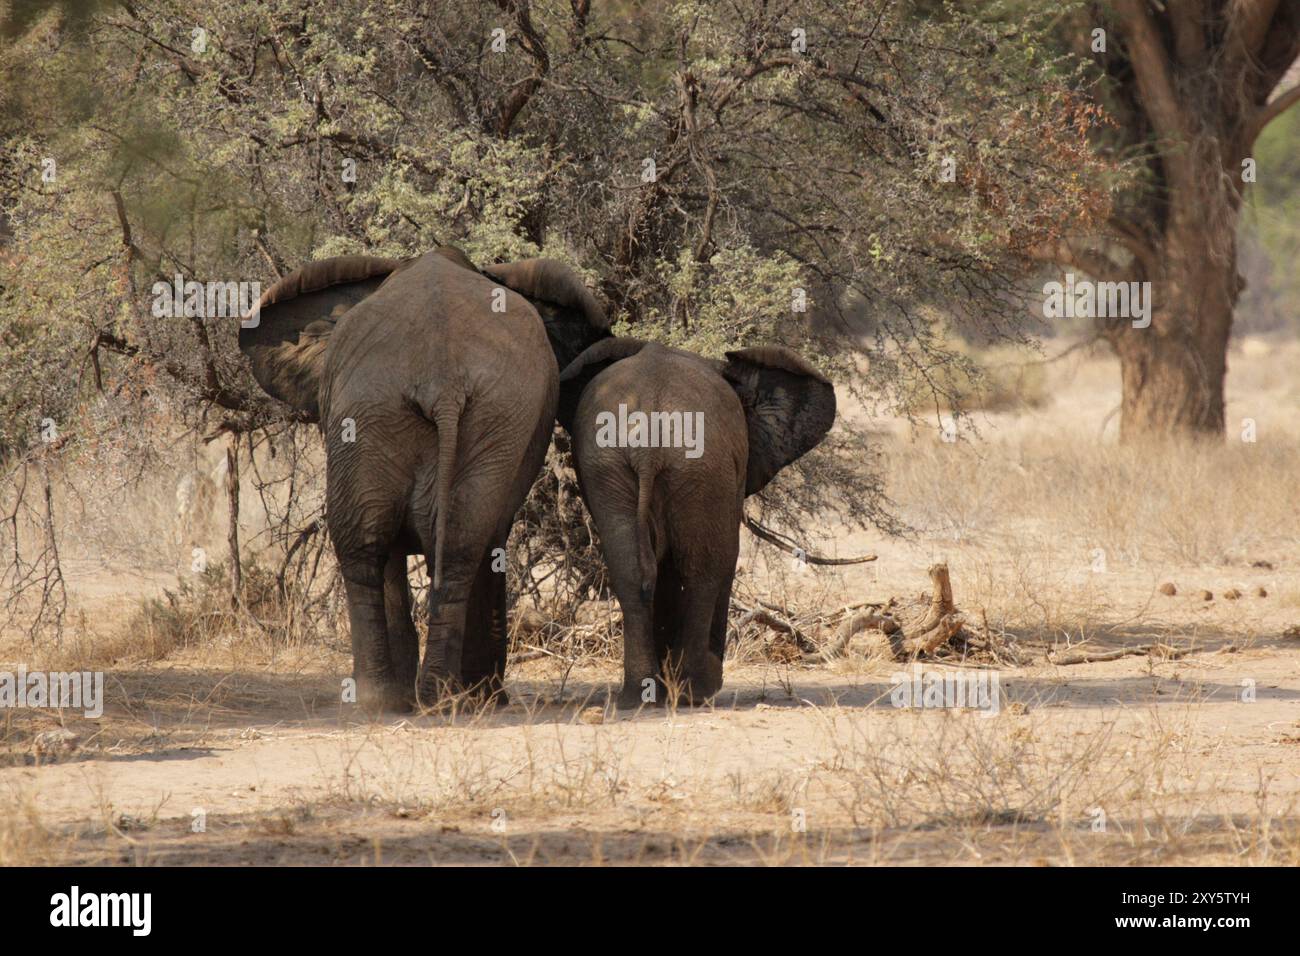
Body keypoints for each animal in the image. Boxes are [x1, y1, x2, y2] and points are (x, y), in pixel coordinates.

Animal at [240, 247, 608, 712]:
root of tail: (441, 377)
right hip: (392, 413)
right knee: (409, 543)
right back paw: (411, 698)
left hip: (420, 415)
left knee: (397, 546)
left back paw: (412, 697)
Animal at [559, 340, 832, 707]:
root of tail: (648, 438)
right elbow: (724, 555)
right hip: (700, 468)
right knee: (704, 570)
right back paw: (696, 690)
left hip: (613, 468)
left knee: (630, 571)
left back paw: (640, 695)